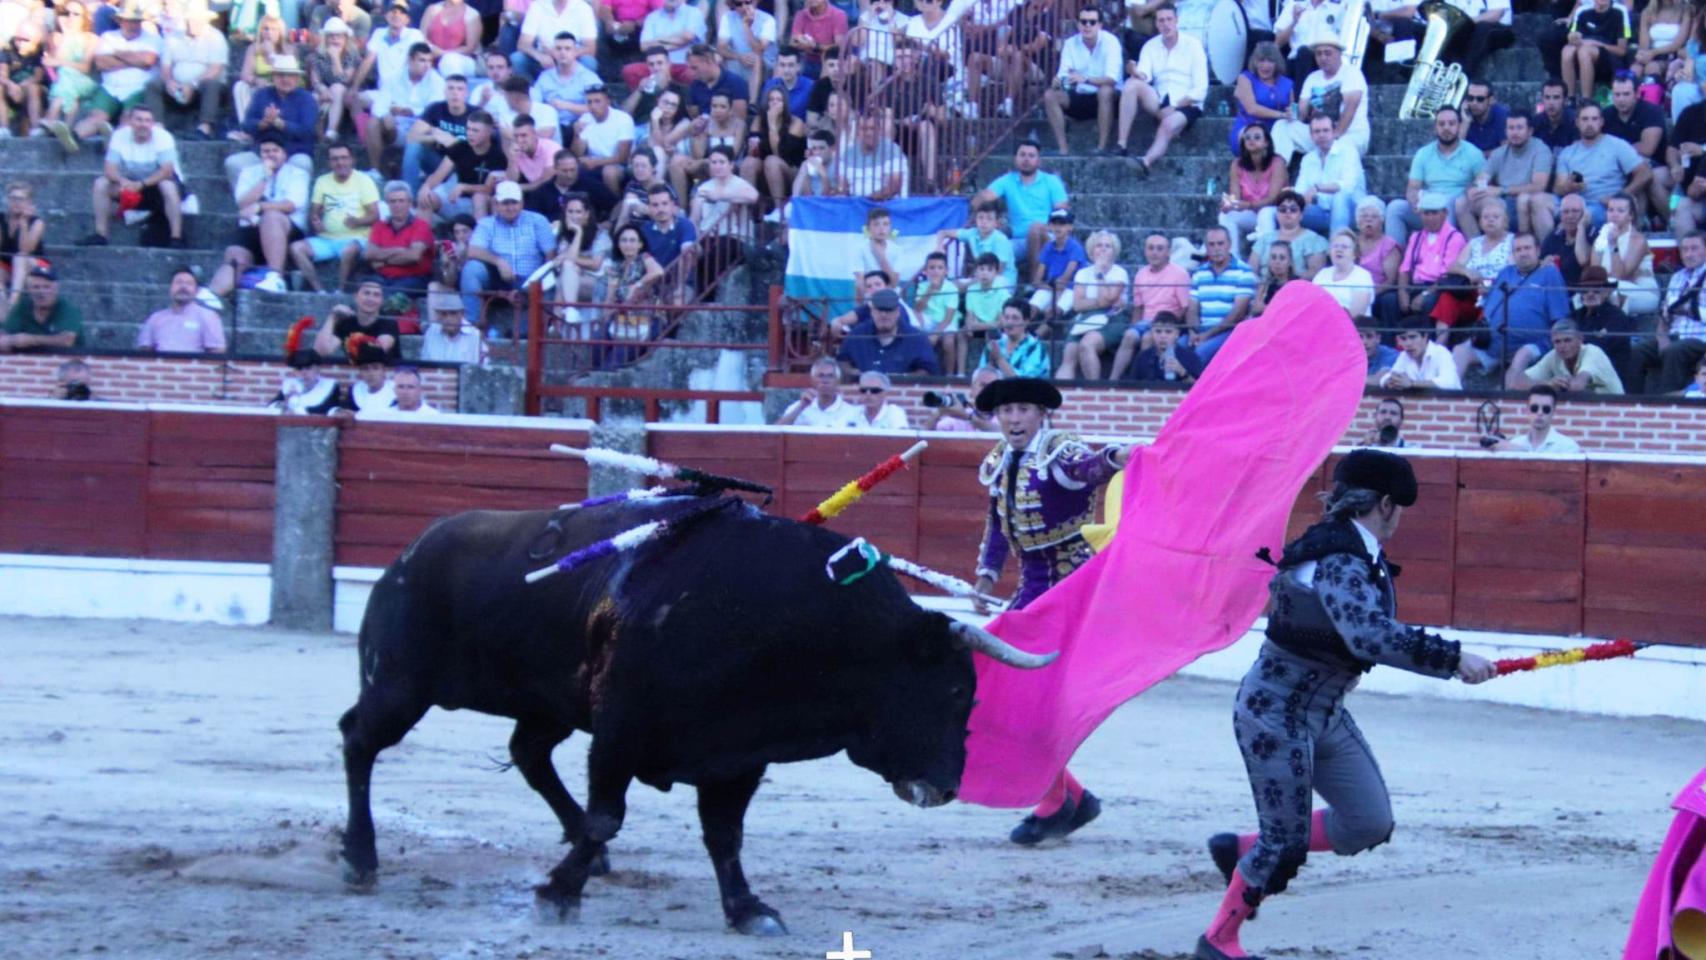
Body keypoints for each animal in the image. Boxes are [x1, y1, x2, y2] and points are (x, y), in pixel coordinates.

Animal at [336, 501, 1050, 934]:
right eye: (953, 692)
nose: (949, 786)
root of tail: (410, 552)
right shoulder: (620, 734)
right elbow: (608, 815)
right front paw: (557, 895)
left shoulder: (739, 756)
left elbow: (724, 836)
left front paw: (748, 909)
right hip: (399, 683)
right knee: (359, 741)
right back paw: (362, 857)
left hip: (548, 704)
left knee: (530, 754)